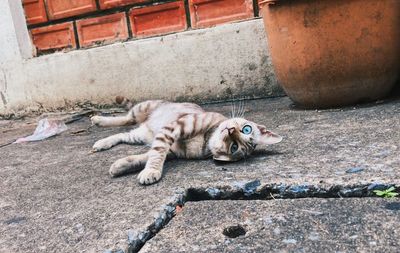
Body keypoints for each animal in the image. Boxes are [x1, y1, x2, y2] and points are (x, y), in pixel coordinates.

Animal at [92, 96, 282, 184]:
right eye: (246, 129)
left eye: (234, 147)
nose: (230, 130)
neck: (206, 139)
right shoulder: (173, 128)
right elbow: (156, 155)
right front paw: (152, 171)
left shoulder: (171, 151)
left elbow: (146, 157)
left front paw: (122, 166)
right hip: (143, 108)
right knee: (126, 118)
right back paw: (98, 120)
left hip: (140, 135)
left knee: (122, 134)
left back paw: (102, 142)